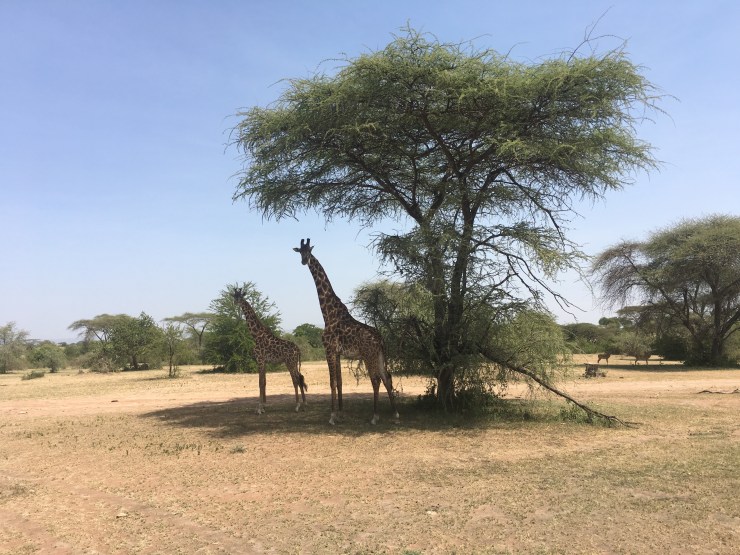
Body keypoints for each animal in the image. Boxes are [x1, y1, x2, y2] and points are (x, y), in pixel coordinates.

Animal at [293, 238, 399, 425]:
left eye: (309, 251)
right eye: (300, 251)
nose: (304, 261)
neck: (328, 313)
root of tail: (380, 339)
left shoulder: (329, 350)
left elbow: (332, 382)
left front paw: (332, 416)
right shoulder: (337, 353)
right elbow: (339, 382)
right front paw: (340, 413)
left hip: (369, 355)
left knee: (376, 380)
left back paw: (374, 417)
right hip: (379, 355)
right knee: (387, 377)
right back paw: (395, 414)